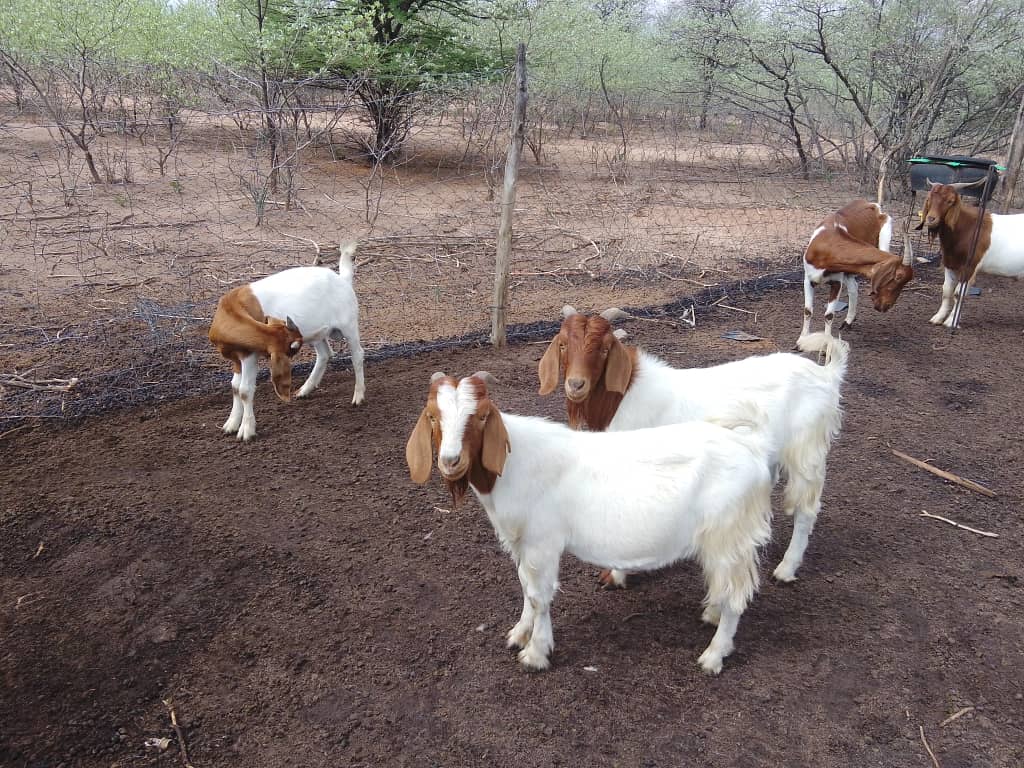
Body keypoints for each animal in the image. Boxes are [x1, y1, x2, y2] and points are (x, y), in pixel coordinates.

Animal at [403, 372, 770, 671]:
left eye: (480, 416)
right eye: (432, 416)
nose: (451, 461)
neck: (517, 463)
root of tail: (750, 445)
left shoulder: (543, 543)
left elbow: (539, 596)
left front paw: (536, 653)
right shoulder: (522, 542)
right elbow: (524, 586)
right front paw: (519, 633)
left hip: (729, 534)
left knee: (737, 595)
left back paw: (714, 655)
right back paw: (711, 613)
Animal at [536, 313, 847, 589]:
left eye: (603, 349)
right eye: (563, 345)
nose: (576, 385)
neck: (620, 399)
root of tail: (827, 375)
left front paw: (617, 575)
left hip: (806, 450)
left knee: (807, 509)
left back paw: (786, 568)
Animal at [798, 198, 913, 346]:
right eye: (898, 276)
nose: (885, 307)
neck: (827, 242)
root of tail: (872, 205)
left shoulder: (836, 282)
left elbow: (829, 315)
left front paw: (826, 344)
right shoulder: (808, 279)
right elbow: (807, 311)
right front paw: (801, 340)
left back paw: (848, 321)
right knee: (854, 287)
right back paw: (847, 322)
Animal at [913, 182, 1024, 329]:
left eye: (950, 201)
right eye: (929, 198)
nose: (931, 219)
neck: (967, 229)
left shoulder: (970, 267)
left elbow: (958, 293)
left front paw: (951, 322)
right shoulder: (951, 264)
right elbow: (947, 291)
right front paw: (938, 318)